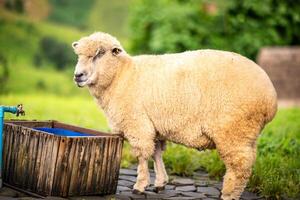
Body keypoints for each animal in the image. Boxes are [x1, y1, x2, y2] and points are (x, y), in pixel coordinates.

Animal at [71, 32, 276, 199]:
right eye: (79, 55)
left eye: (100, 53)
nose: (78, 75)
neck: (121, 76)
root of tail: (271, 99)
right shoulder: (154, 126)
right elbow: (157, 153)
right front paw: (160, 182)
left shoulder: (138, 124)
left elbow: (142, 156)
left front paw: (140, 185)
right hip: (247, 134)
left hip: (234, 131)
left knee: (239, 167)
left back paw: (228, 195)